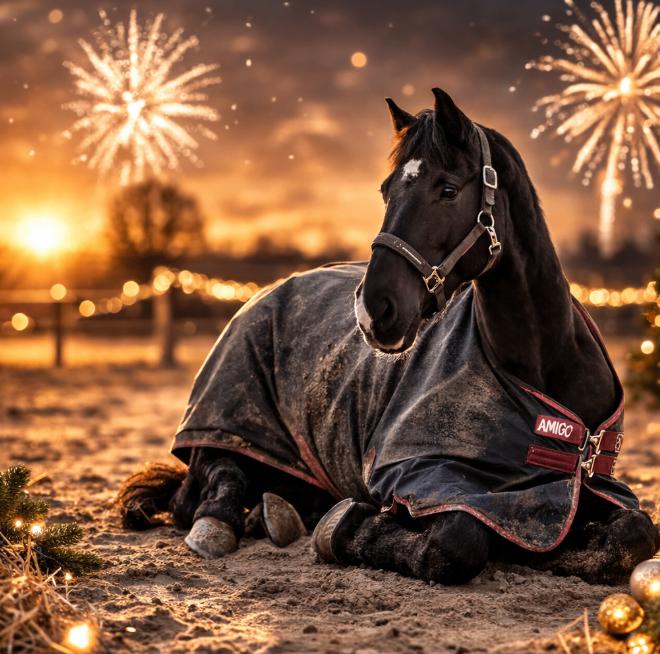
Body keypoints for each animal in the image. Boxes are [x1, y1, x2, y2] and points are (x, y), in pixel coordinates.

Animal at [118, 88, 659, 585]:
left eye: (447, 189)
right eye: (386, 191)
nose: (373, 308)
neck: (542, 369)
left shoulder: (573, 489)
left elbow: (636, 531)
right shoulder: (427, 476)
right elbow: (458, 541)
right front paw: (345, 525)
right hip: (227, 426)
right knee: (210, 487)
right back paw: (231, 522)